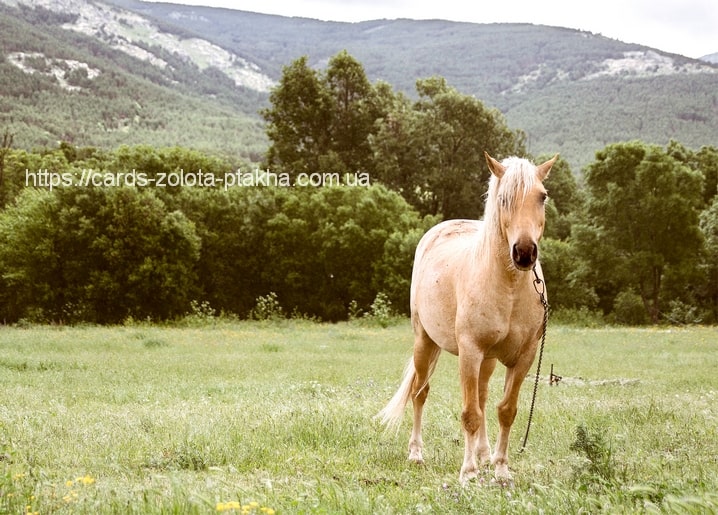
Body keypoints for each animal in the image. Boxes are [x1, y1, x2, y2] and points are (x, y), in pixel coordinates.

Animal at [377, 151, 557, 484]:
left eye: (543, 196)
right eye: (503, 199)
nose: (524, 253)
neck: (508, 287)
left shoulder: (524, 357)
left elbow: (505, 410)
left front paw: (500, 469)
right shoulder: (470, 352)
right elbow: (470, 415)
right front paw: (468, 472)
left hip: (488, 360)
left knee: (483, 399)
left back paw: (484, 455)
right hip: (425, 342)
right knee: (420, 393)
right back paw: (416, 453)